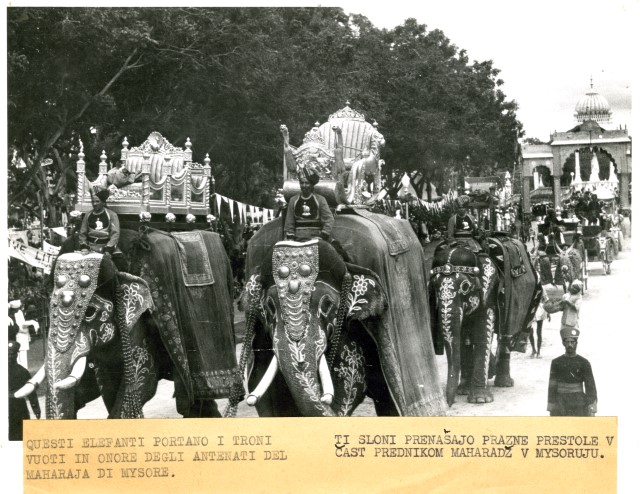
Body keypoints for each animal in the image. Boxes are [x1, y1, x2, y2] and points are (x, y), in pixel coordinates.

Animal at [429, 236, 541, 406]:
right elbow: (463, 336)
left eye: (465, 287)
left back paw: (504, 383)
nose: (449, 404)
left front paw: (480, 399)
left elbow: (483, 331)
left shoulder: (490, 292)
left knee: (504, 338)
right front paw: (463, 391)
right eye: (434, 287)